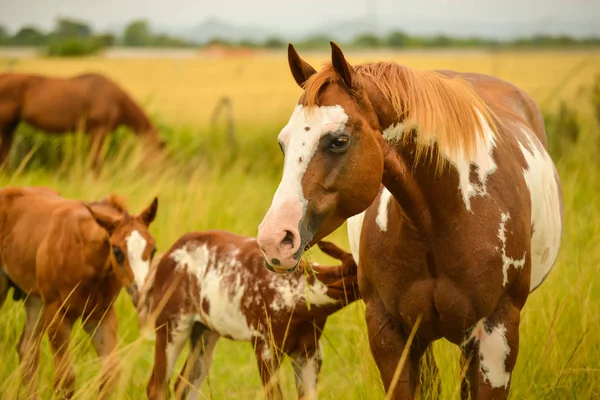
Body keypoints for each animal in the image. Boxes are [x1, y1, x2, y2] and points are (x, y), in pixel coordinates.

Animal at [0, 72, 165, 170]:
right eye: (158, 156)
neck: (115, 99)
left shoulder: (93, 133)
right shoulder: (99, 131)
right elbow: (95, 162)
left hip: (10, 126)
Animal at [0, 186, 159, 398]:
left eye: (153, 249)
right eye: (116, 250)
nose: (141, 295)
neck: (84, 256)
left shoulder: (100, 315)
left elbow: (110, 375)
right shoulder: (57, 313)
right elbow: (65, 380)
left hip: (35, 301)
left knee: (27, 351)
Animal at [138, 231, 358, 400]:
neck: (296, 293)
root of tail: (165, 256)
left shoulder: (310, 350)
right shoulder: (264, 345)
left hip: (205, 332)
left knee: (185, 384)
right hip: (172, 326)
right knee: (157, 386)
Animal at [256, 43, 564, 400]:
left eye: (339, 140)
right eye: (283, 143)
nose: (274, 239)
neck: (440, 220)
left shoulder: (497, 335)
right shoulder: (390, 334)